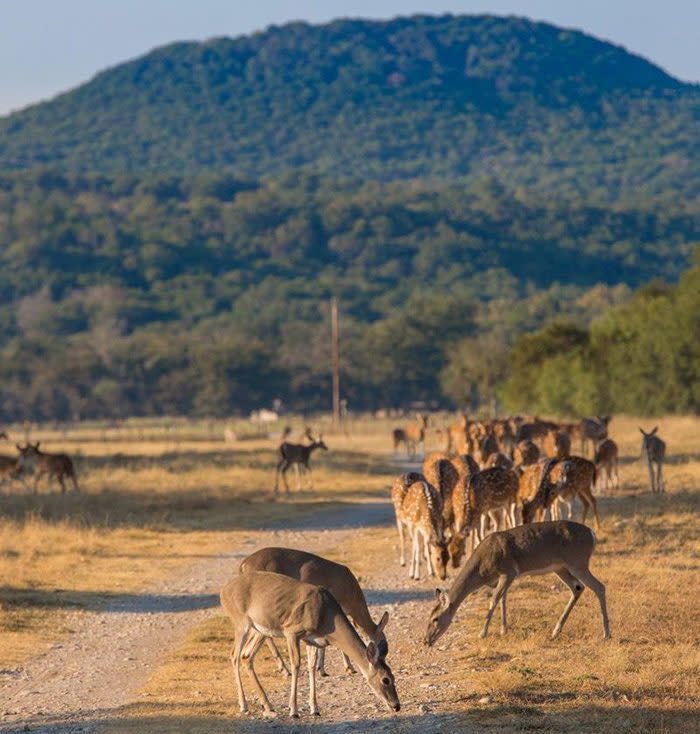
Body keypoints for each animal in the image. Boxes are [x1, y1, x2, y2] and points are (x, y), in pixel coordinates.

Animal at [219, 572, 400, 720]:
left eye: (394, 676)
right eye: (385, 679)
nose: (396, 706)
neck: (327, 618)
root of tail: (223, 591)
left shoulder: (312, 640)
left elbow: (312, 666)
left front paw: (315, 708)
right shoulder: (291, 631)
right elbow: (297, 665)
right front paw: (294, 710)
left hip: (260, 630)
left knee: (246, 656)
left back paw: (268, 705)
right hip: (241, 622)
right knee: (234, 655)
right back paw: (244, 705)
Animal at [242, 548, 392, 680]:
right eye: (383, 647)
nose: (379, 665)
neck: (348, 585)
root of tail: (244, 563)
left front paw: (322, 668)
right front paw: (346, 667)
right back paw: (284, 669)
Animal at [424, 520, 608, 648]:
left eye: (435, 618)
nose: (426, 641)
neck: (482, 570)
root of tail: (592, 534)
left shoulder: (508, 571)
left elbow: (494, 600)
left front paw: (482, 633)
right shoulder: (501, 578)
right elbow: (502, 599)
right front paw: (503, 630)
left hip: (577, 562)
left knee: (599, 586)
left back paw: (606, 634)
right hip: (561, 567)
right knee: (578, 587)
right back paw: (555, 632)